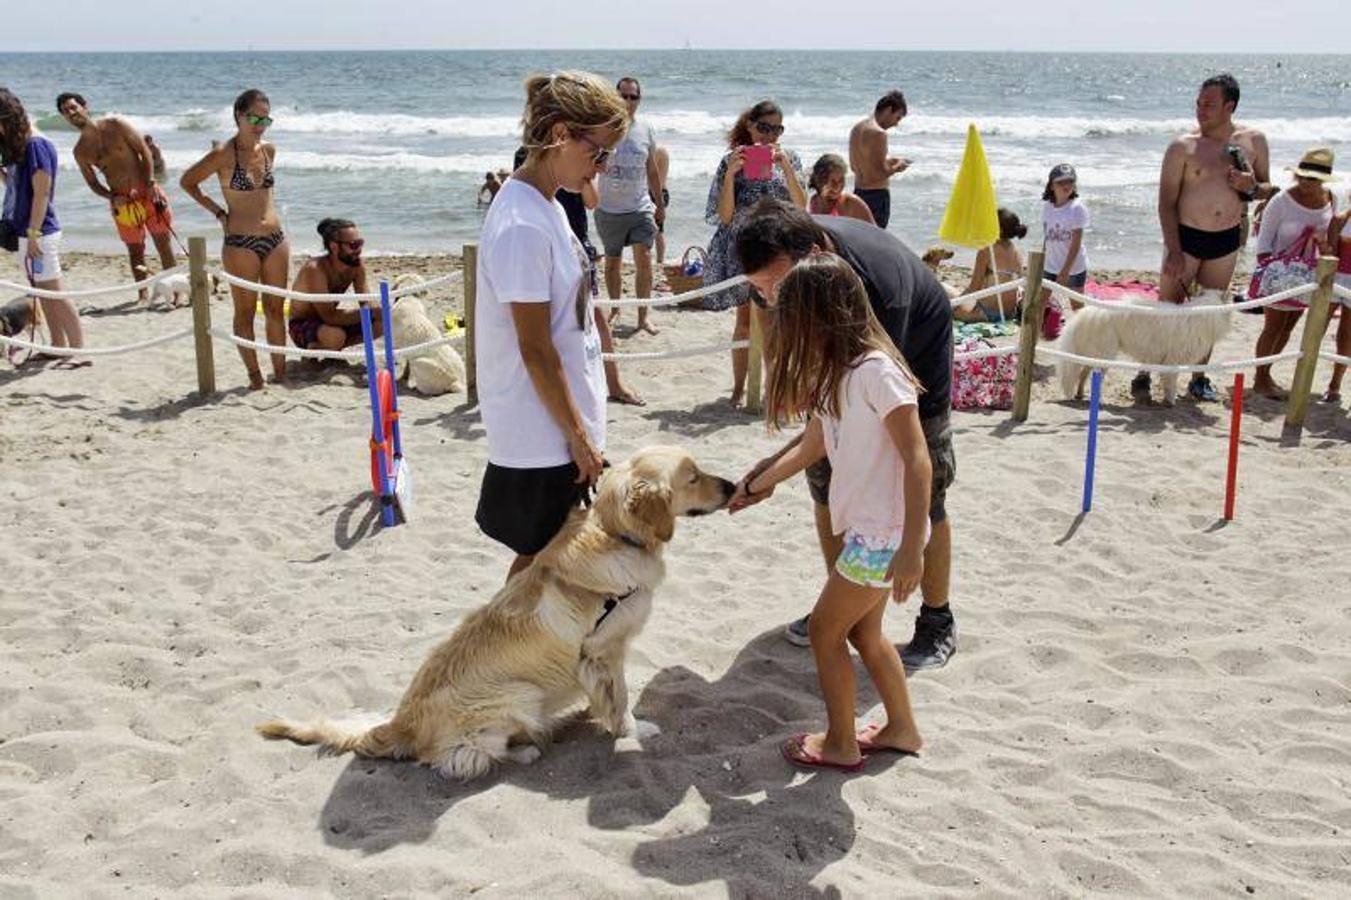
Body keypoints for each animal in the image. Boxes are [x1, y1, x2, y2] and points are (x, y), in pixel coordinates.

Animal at [256, 445, 734, 772]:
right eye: (692, 477)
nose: (731, 486)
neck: (615, 534)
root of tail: (400, 723)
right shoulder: (604, 649)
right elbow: (620, 700)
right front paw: (633, 731)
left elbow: (604, 695)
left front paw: (595, 712)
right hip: (519, 694)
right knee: (460, 758)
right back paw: (527, 748)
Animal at [1053, 287, 1237, 402]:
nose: (1236, 297)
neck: (1204, 314)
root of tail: (1091, 310)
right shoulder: (1172, 361)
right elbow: (1171, 384)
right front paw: (1170, 402)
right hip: (1105, 354)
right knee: (1089, 375)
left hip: (1097, 355)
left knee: (1083, 374)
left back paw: (1080, 395)